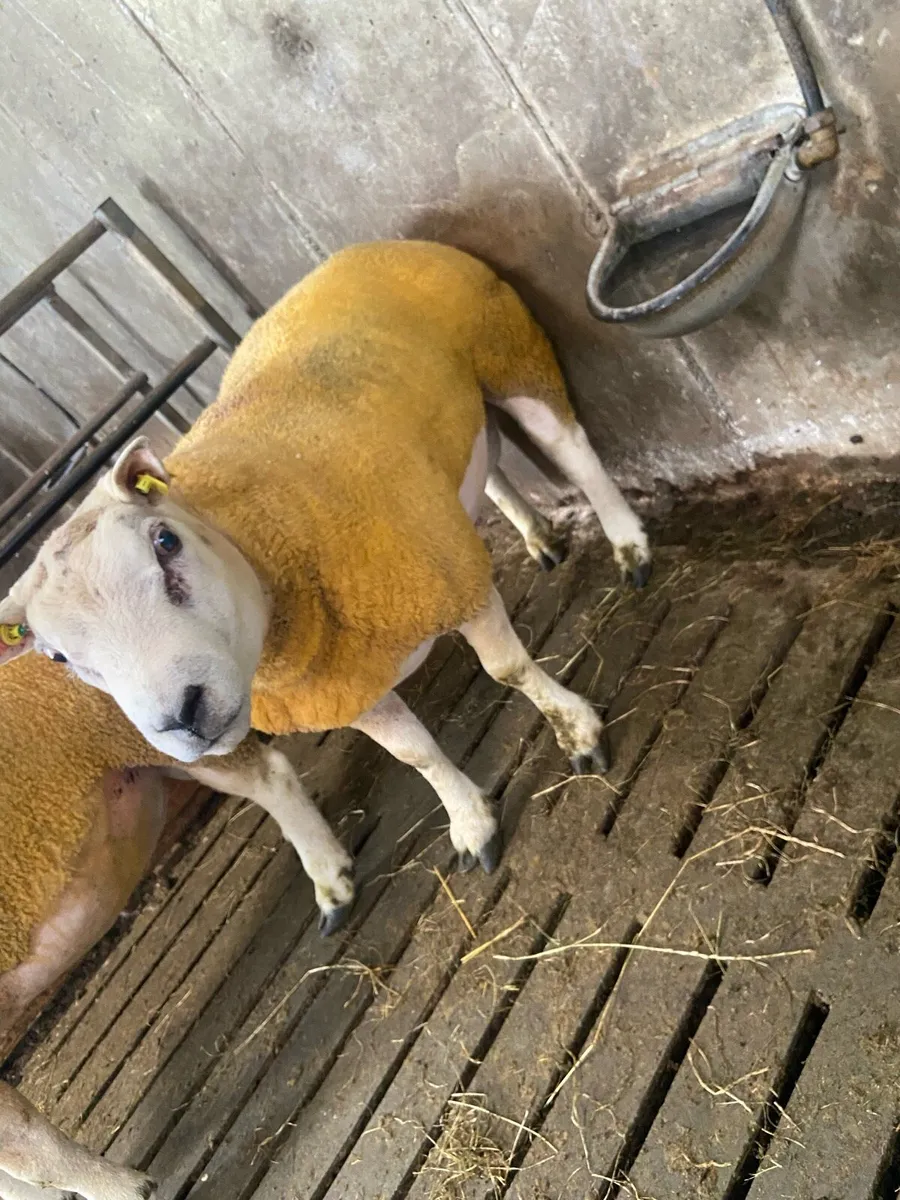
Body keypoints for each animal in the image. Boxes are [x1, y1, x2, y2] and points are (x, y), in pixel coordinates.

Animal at [0, 239, 651, 879]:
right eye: (57, 657)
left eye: (166, 542)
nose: (182, 715)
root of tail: (356, 252)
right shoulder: (347, 683)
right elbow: (414, 754)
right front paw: (471, 824)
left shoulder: (452, 579)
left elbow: (509, 671)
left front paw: (577, 733)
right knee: (488, 470)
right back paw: (539, 536)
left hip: (509, 349)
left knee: (571, 449)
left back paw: (628, 544)